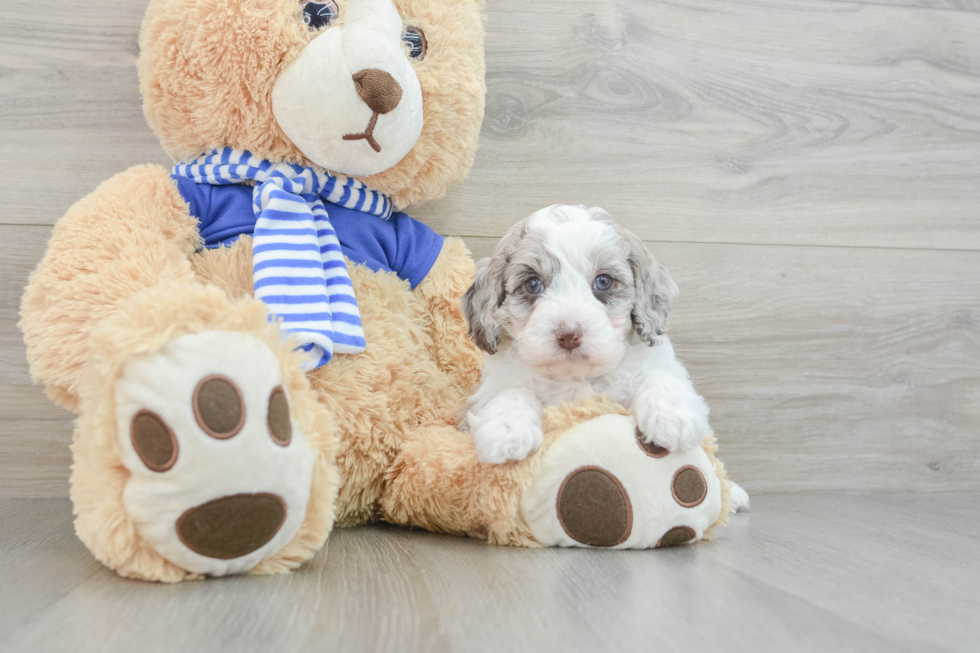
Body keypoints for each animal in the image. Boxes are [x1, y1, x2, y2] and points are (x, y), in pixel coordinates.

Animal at [460, 205, 752, 510]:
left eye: (603, 281)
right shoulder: (493, 383)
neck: (577, 376)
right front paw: (506, 430)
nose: (569, 334)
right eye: (532, 284)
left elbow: (660, 376)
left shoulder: (654, 360)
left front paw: (673, 418)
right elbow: (509, 391)